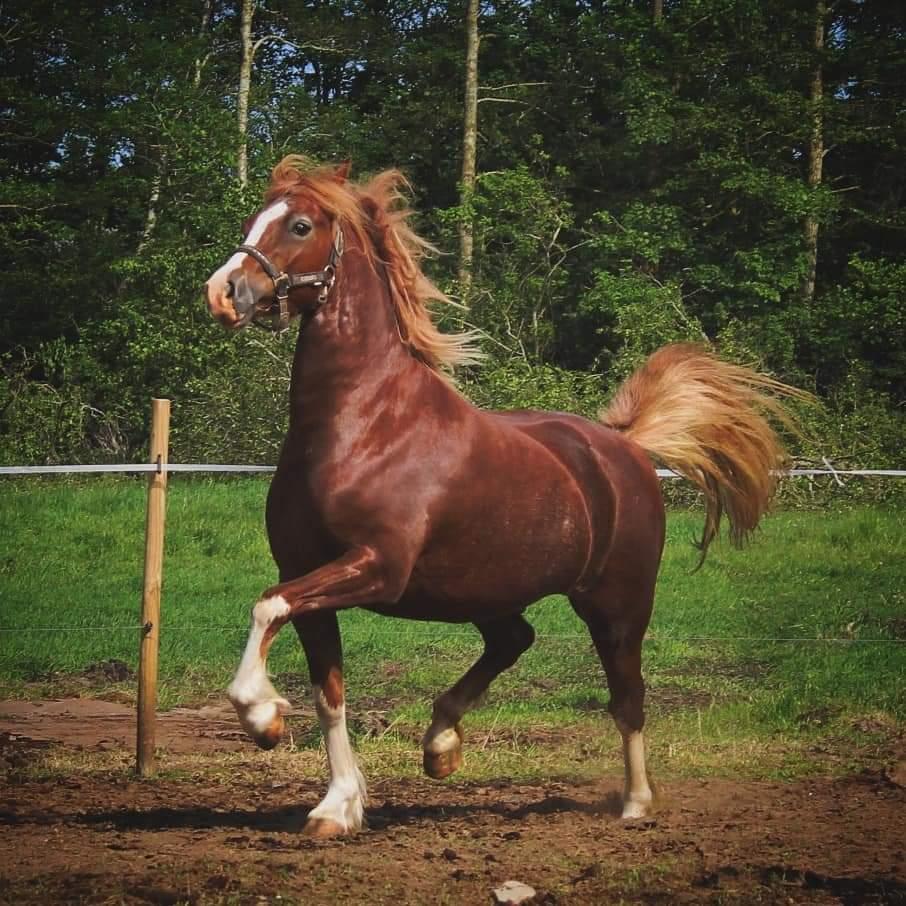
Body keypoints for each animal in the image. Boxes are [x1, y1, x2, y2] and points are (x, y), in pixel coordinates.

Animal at [203, 154, 792, 832]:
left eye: (299, 225)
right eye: (255, 216)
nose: (223, 292)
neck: (361, 426)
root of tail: (623, 446)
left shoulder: (377, 567)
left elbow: (266, 606)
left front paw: (262, 717)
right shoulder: (307, 574)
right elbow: (327, 691)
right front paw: (337, 803)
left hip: (617, 604)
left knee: (627, 697)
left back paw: (636, 803)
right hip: (488, 588)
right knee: (514, 641)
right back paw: (440, 745)